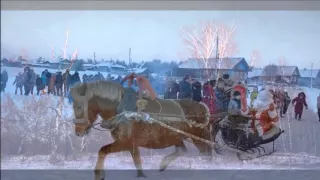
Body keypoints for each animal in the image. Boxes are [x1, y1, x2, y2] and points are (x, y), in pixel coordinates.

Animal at [71, 81, 214, 180]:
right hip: (176, 137)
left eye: (78, 106)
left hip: (199, 139)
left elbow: (102, 150)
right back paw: (163, 164)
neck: (124, 112)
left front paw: (99, 174)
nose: (78, 132)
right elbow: (137, 162)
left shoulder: (125, 142)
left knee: (205, 154)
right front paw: (141, 175)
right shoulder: (132, 145)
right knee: (182, 150)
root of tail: (202, 107)